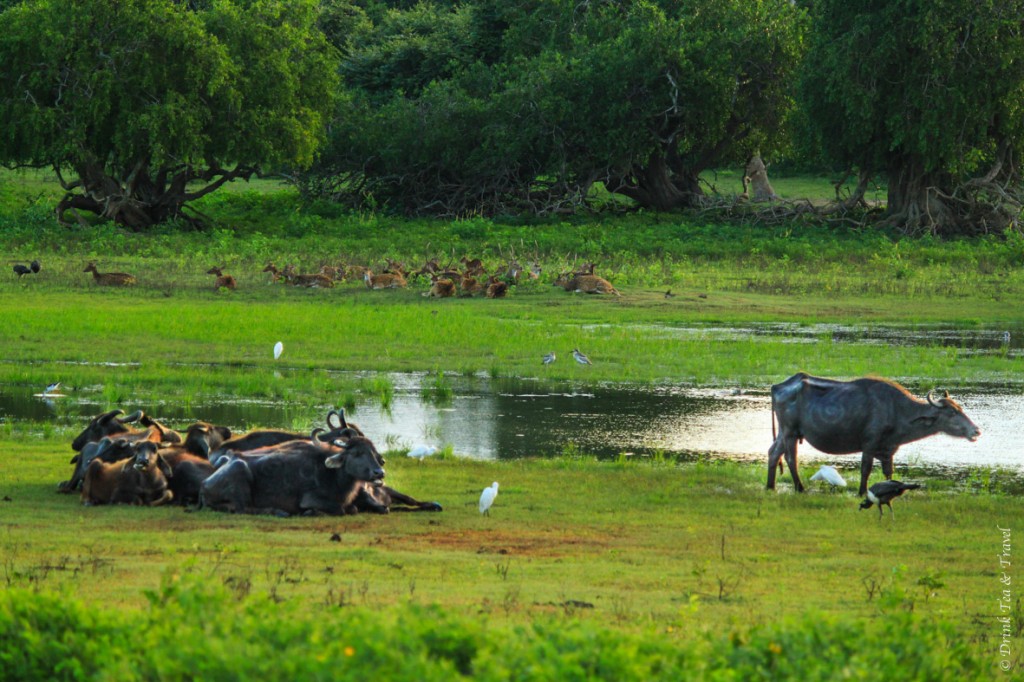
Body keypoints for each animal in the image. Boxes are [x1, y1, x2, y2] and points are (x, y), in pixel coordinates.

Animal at [770, 372, 978, 493]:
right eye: (952, 412)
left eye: (960, 408)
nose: (976, 430)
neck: (896, 409)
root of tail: (778, 386)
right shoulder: (869, 443)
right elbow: (866, 469)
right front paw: (862, 491)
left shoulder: (888, 449)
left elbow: (888, 471)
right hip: (790, 431)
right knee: (790, 458)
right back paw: (799, 488)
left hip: (783, 432)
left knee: (773, 453)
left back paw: (770, 486)